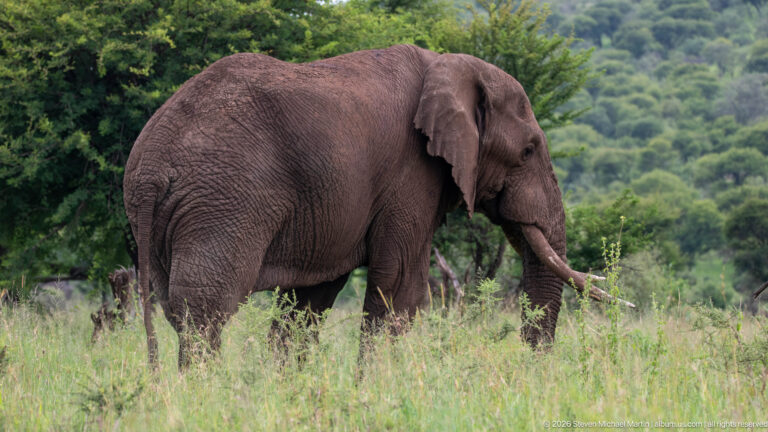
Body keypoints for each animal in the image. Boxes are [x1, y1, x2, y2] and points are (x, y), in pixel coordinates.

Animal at [124, 44, 631, 367]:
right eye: (527, 151)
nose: (531, 364)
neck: (449, 66)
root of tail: (150, 166)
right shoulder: (413, 172)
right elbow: (402, 288)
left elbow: (308, 302)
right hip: (225, 200)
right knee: (204, 310)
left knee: (178, 309)